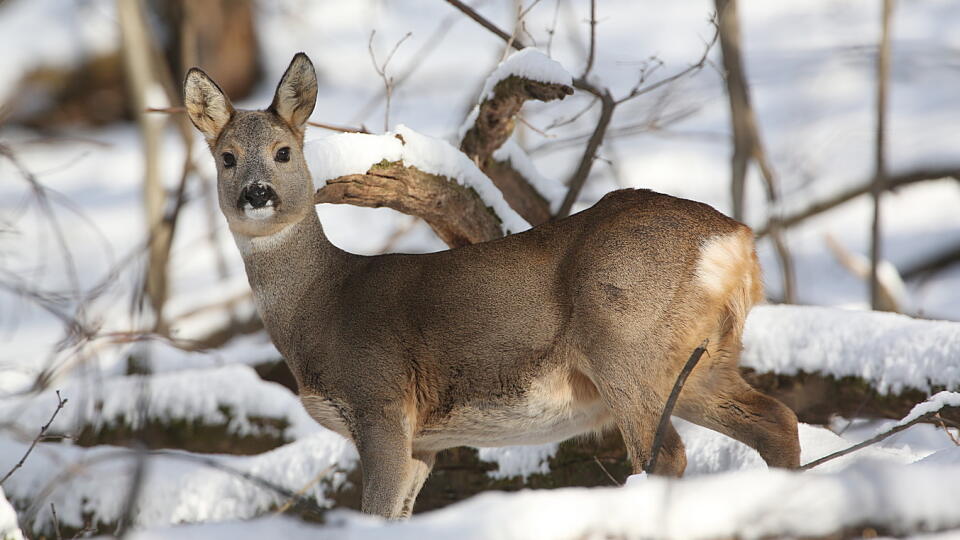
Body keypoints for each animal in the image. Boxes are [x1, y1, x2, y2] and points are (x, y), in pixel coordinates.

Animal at [184, 51, 800, 520]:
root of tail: (736, 240)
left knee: (666, 454)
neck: (323, 302)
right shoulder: (424, 442)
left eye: (284, 152)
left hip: (627, 343)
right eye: (226, 158)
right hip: (701, 359)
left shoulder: (379, 399)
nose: (257, 194)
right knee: (778, 420)